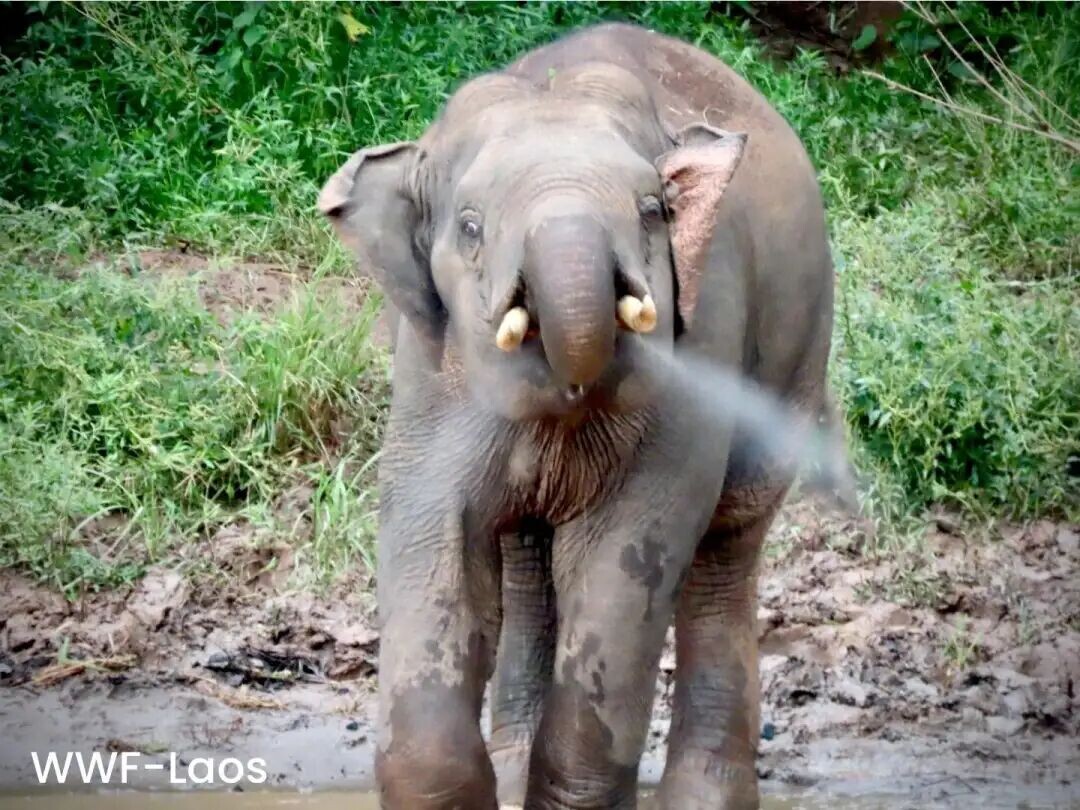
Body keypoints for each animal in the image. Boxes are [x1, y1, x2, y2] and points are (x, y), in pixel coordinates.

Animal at [319, 22, 833, 810]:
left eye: (653, 210)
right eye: (470, 226)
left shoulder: (702, 332)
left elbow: (628, 552)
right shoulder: (429, 367)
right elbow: (430, 529)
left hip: (801, 344)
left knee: (726, 550)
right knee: (531, 563)